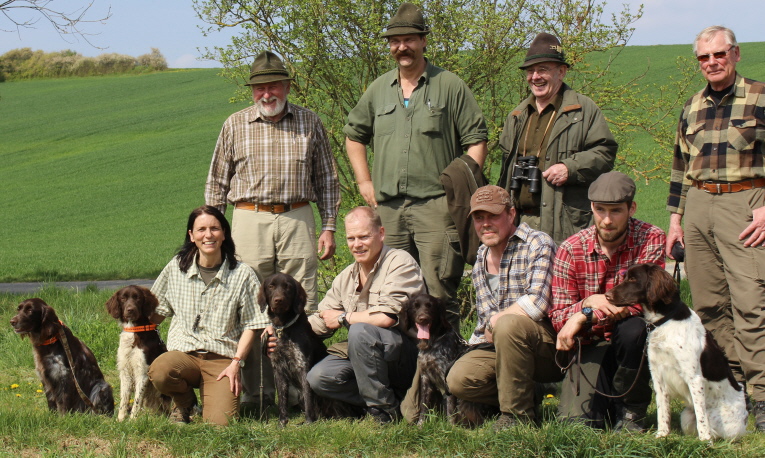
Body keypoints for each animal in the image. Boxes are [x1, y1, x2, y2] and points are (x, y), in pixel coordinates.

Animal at [104, 288, 169, 420]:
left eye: (138, 298)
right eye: (123, 298)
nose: (130, 310)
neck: (134, 330)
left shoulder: (142, 372)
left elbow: (137, 400)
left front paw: (132, 420)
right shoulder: (125, 370)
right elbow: (124, 399)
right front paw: (120, 419)